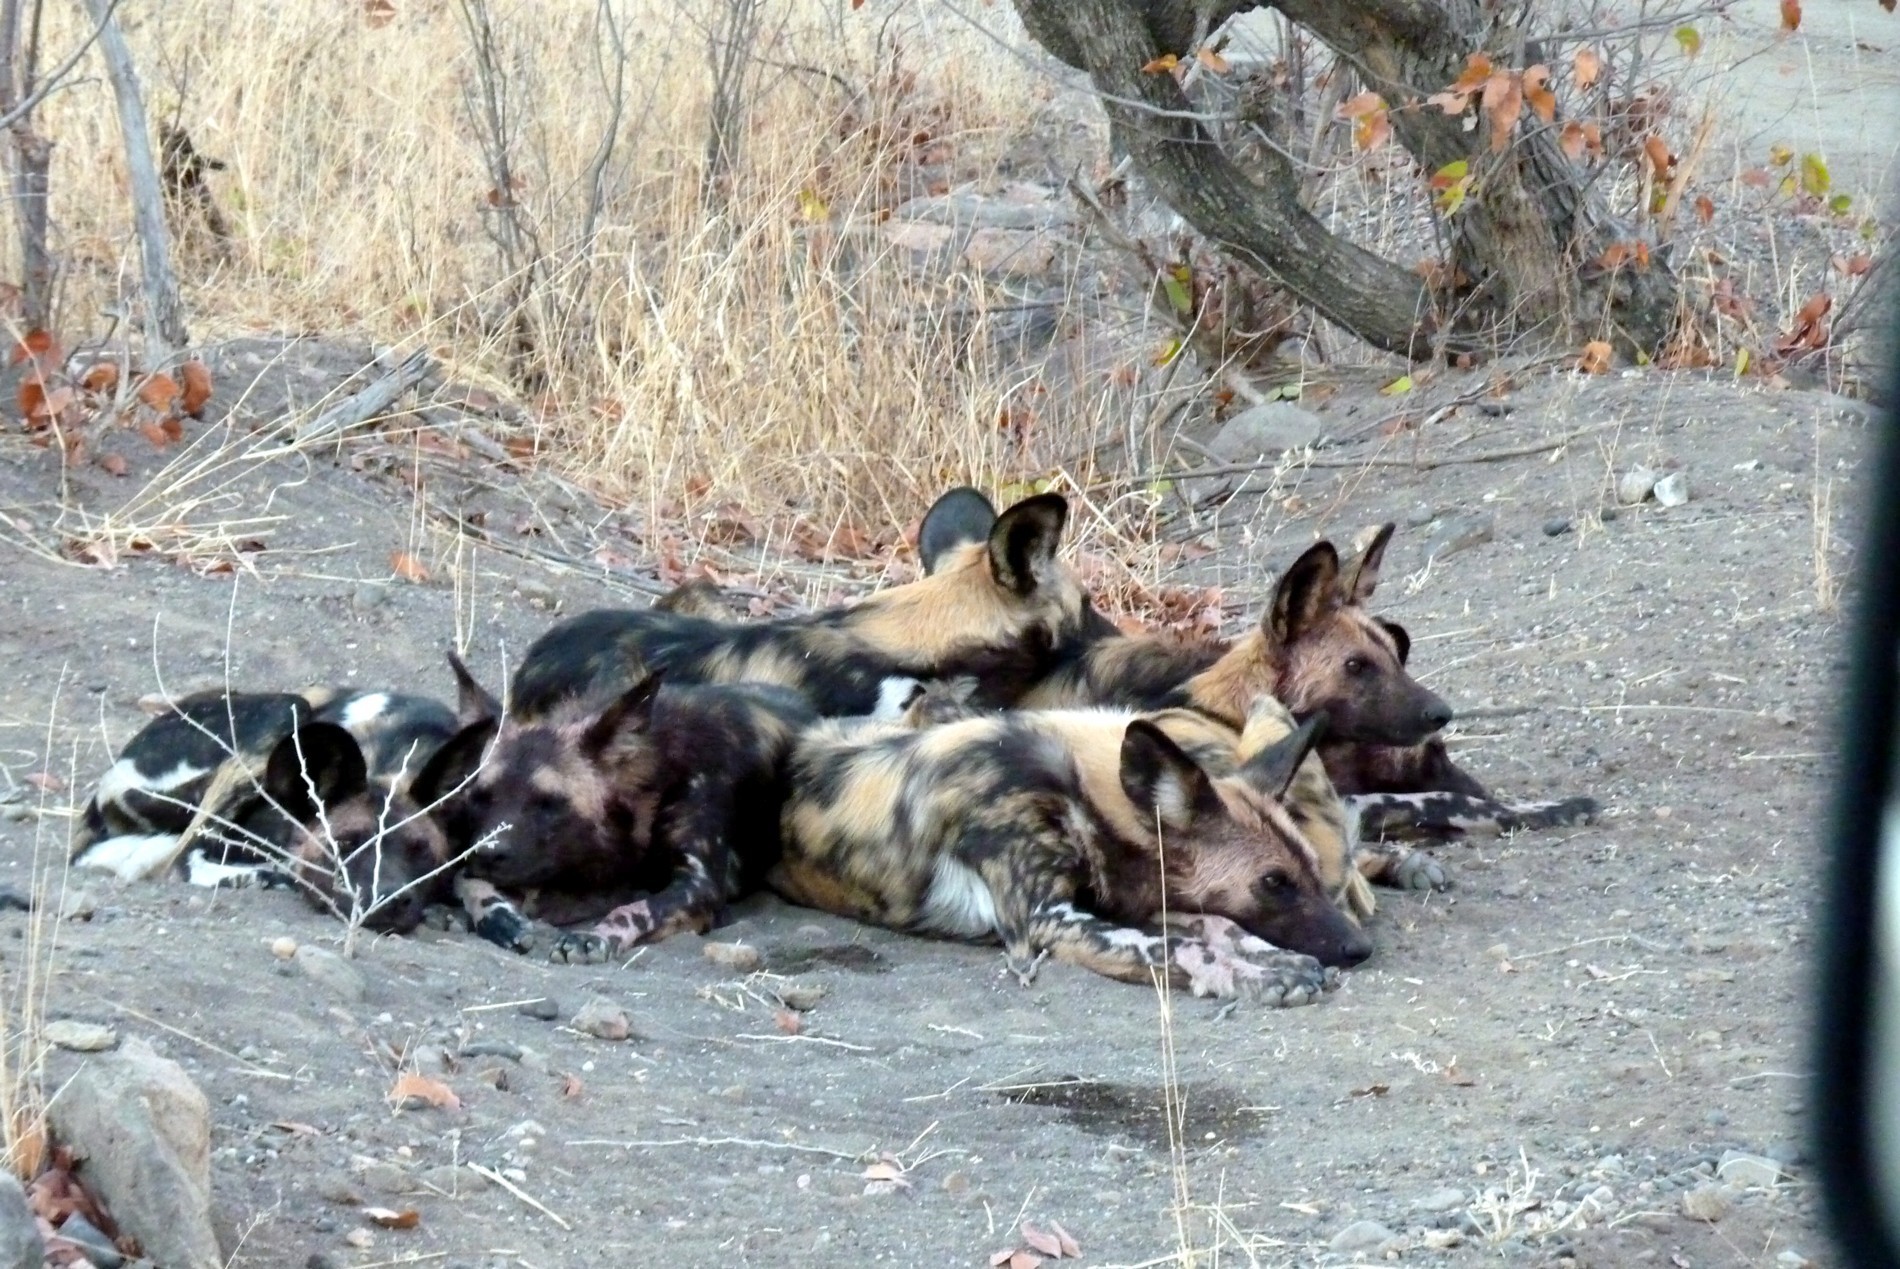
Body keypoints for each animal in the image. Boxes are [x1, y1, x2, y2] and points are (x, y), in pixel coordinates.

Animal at [412, 653, 813, 961]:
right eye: (481, 798)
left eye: (549, 803)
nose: (490, 854)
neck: (657, 776)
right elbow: (467, 879)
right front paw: (497, 915)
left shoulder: (700, 884)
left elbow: (634, 909)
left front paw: (594, 937)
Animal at [775, 695, 1383, 1003]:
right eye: (1273, 883)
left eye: (1309, 871)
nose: (1360, 948)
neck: (1077, 793)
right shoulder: (1048, 920)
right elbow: (1166, 947)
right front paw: (1256, 975)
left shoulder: (1134, 898)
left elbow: (1217, 925)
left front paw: (1266, 956)